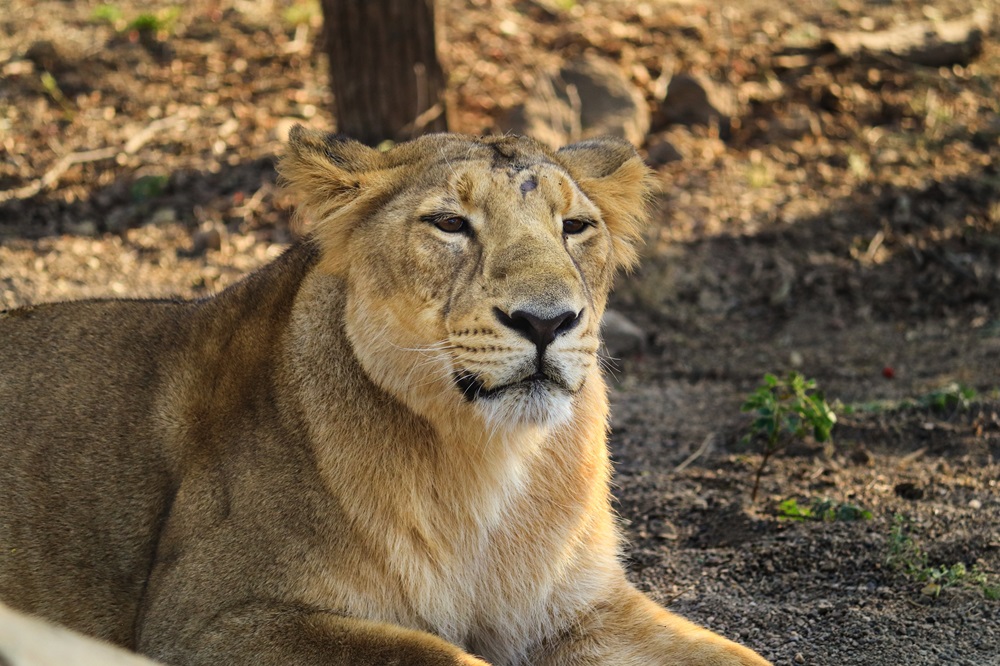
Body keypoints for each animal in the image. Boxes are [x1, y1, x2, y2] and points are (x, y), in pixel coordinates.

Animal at [0, 128, 771, 666]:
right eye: (450, 224)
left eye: (574, 227)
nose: (547, 321)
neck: (486, 464)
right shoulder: (206, 618)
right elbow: (434, 654)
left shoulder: (581, 609)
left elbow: (740, 655)